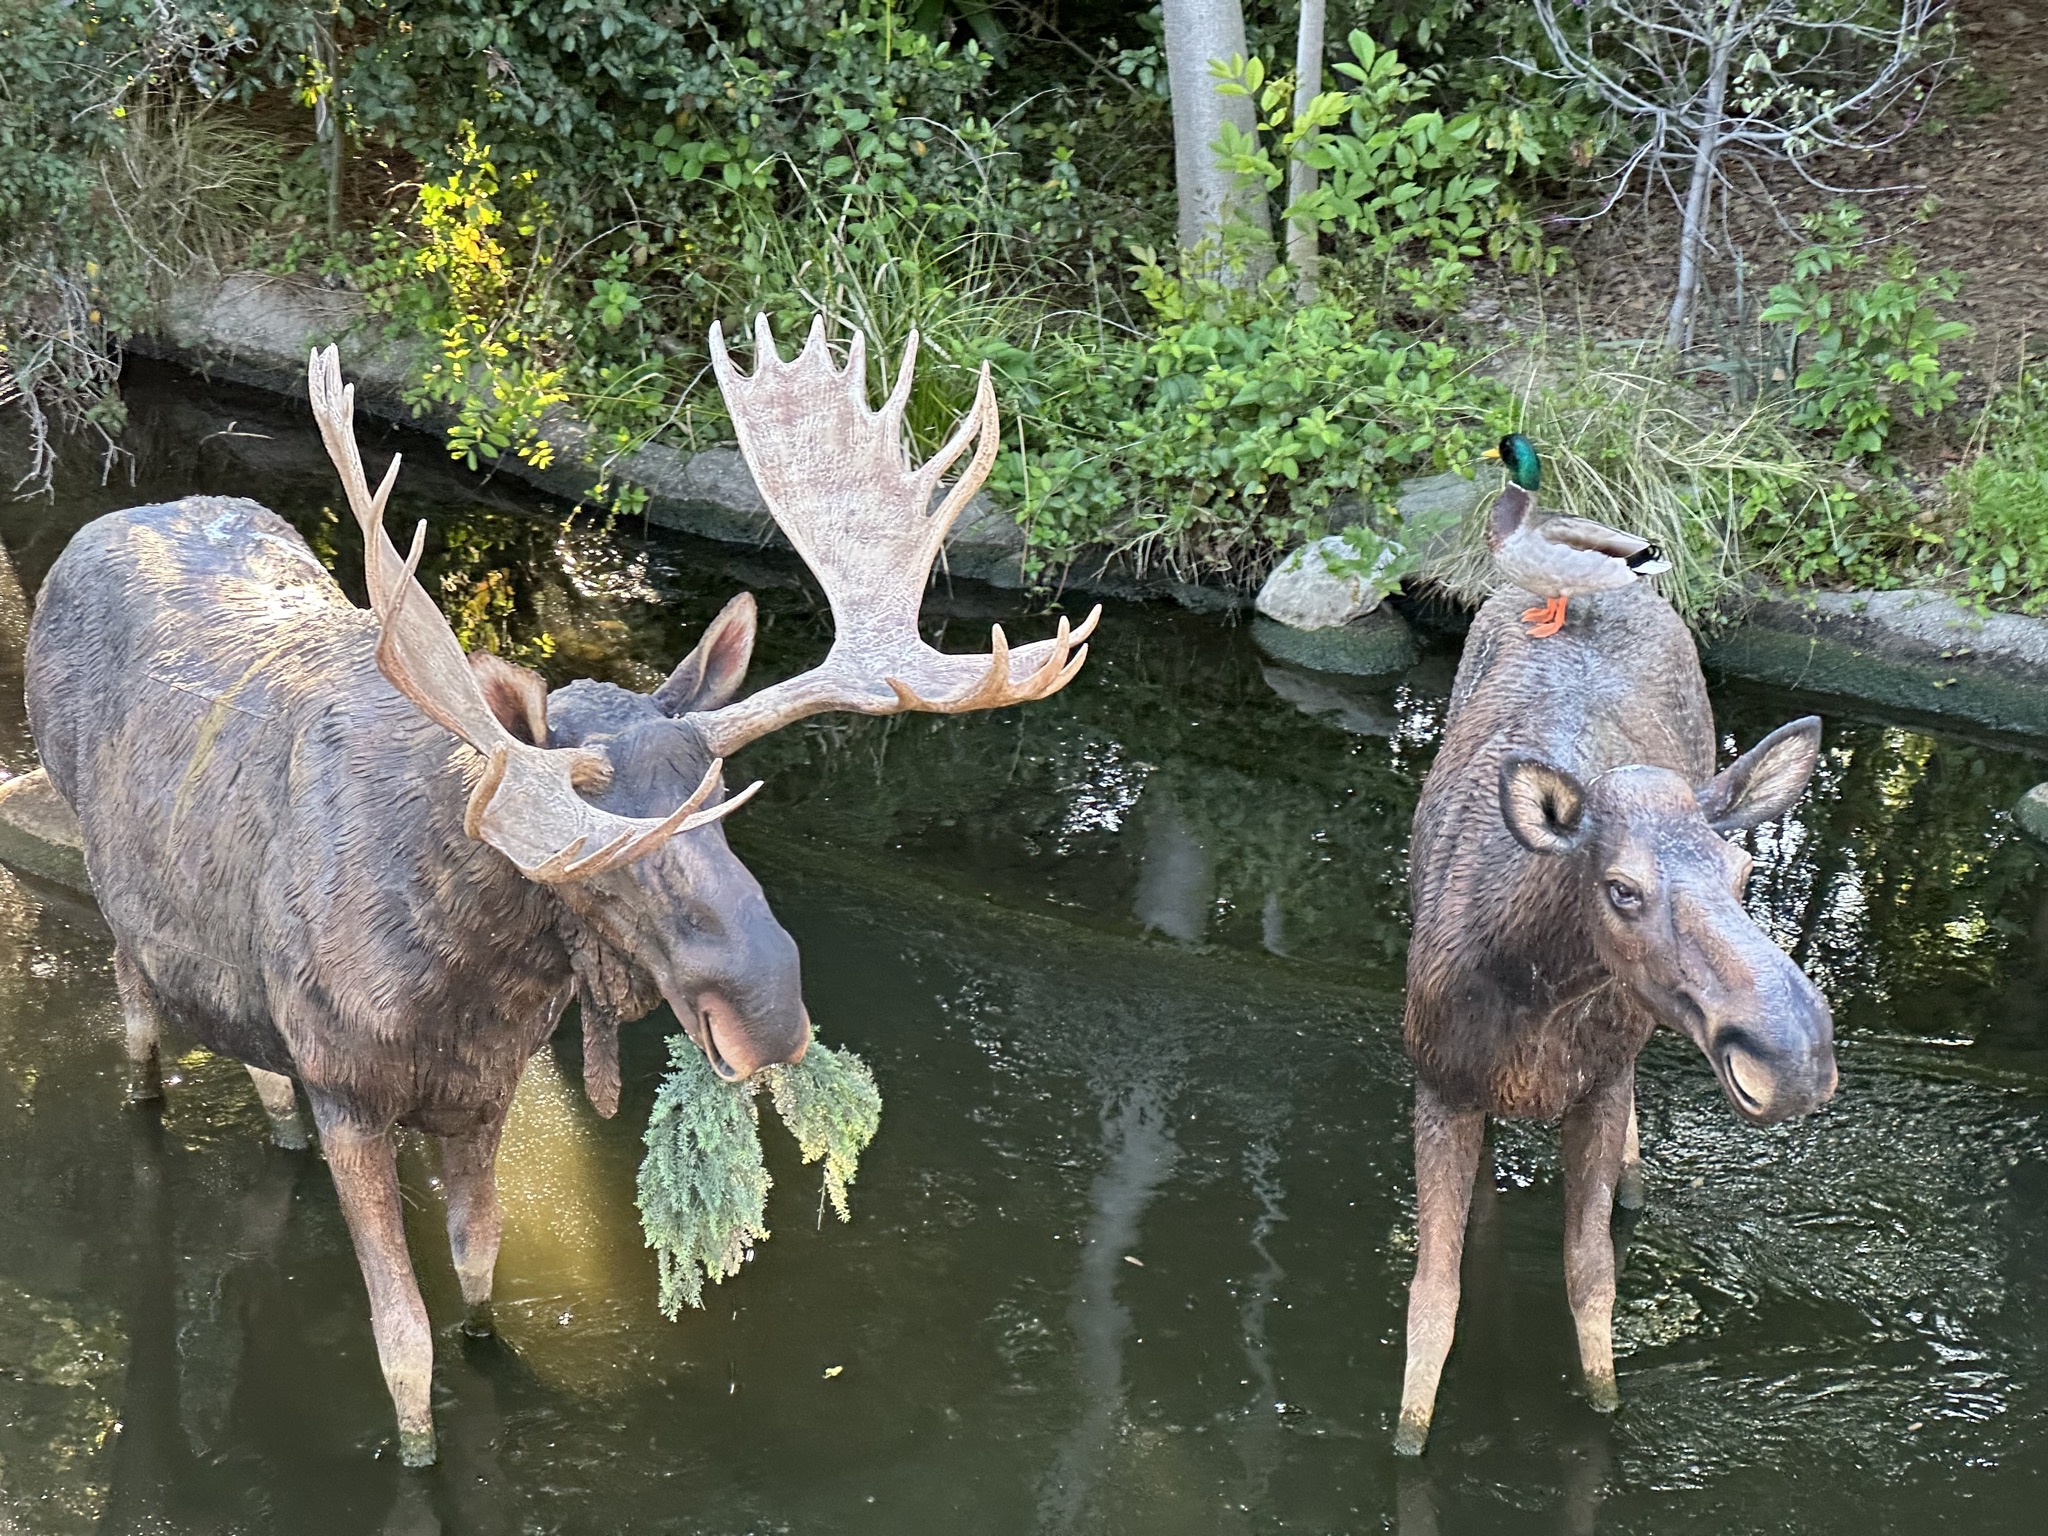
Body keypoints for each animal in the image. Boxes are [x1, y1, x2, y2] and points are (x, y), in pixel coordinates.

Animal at [24, 317, 1097, 1466]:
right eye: (599, 857)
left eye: (719, 797)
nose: (771, 1017)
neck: (463, 982)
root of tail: (103, 526)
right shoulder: (350, 1089)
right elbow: (402, 1340)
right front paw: (417, 1452)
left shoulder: (481, 1091)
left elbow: (482, 1266)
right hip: (110, 890)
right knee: (137, 1016)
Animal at [1393, 579, 1837, 1456]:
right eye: (1622, 888)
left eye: (1743, 871)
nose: (1795, 1054)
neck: (1533, 994)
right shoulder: (1441, 1085)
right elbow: (1434, 1293)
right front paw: (1407, 1440)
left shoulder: (1597, 1085)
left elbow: (1592, 1275)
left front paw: (1603, 1407)